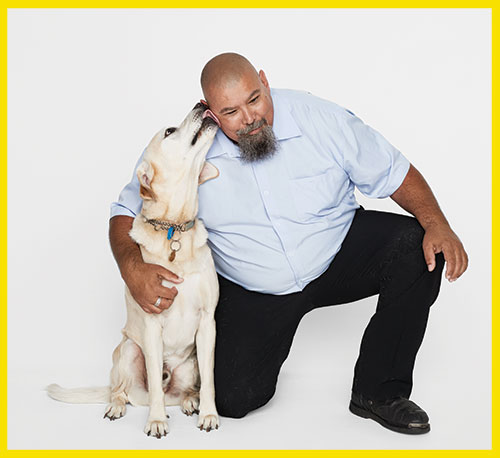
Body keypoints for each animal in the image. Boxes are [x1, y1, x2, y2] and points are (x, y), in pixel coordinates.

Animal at [47, 103, 220, 436]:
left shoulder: (207, 323)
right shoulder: (152, 324)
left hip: (189, 363)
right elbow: (153, 387)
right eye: (169, 131)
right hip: (127, 350)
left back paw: (189, 401)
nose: (202, 104)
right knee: (124, 390)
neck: (174, 228)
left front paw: (208, 414)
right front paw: (156, 421)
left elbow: (210, 381)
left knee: (180, 391)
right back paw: (117, 406)